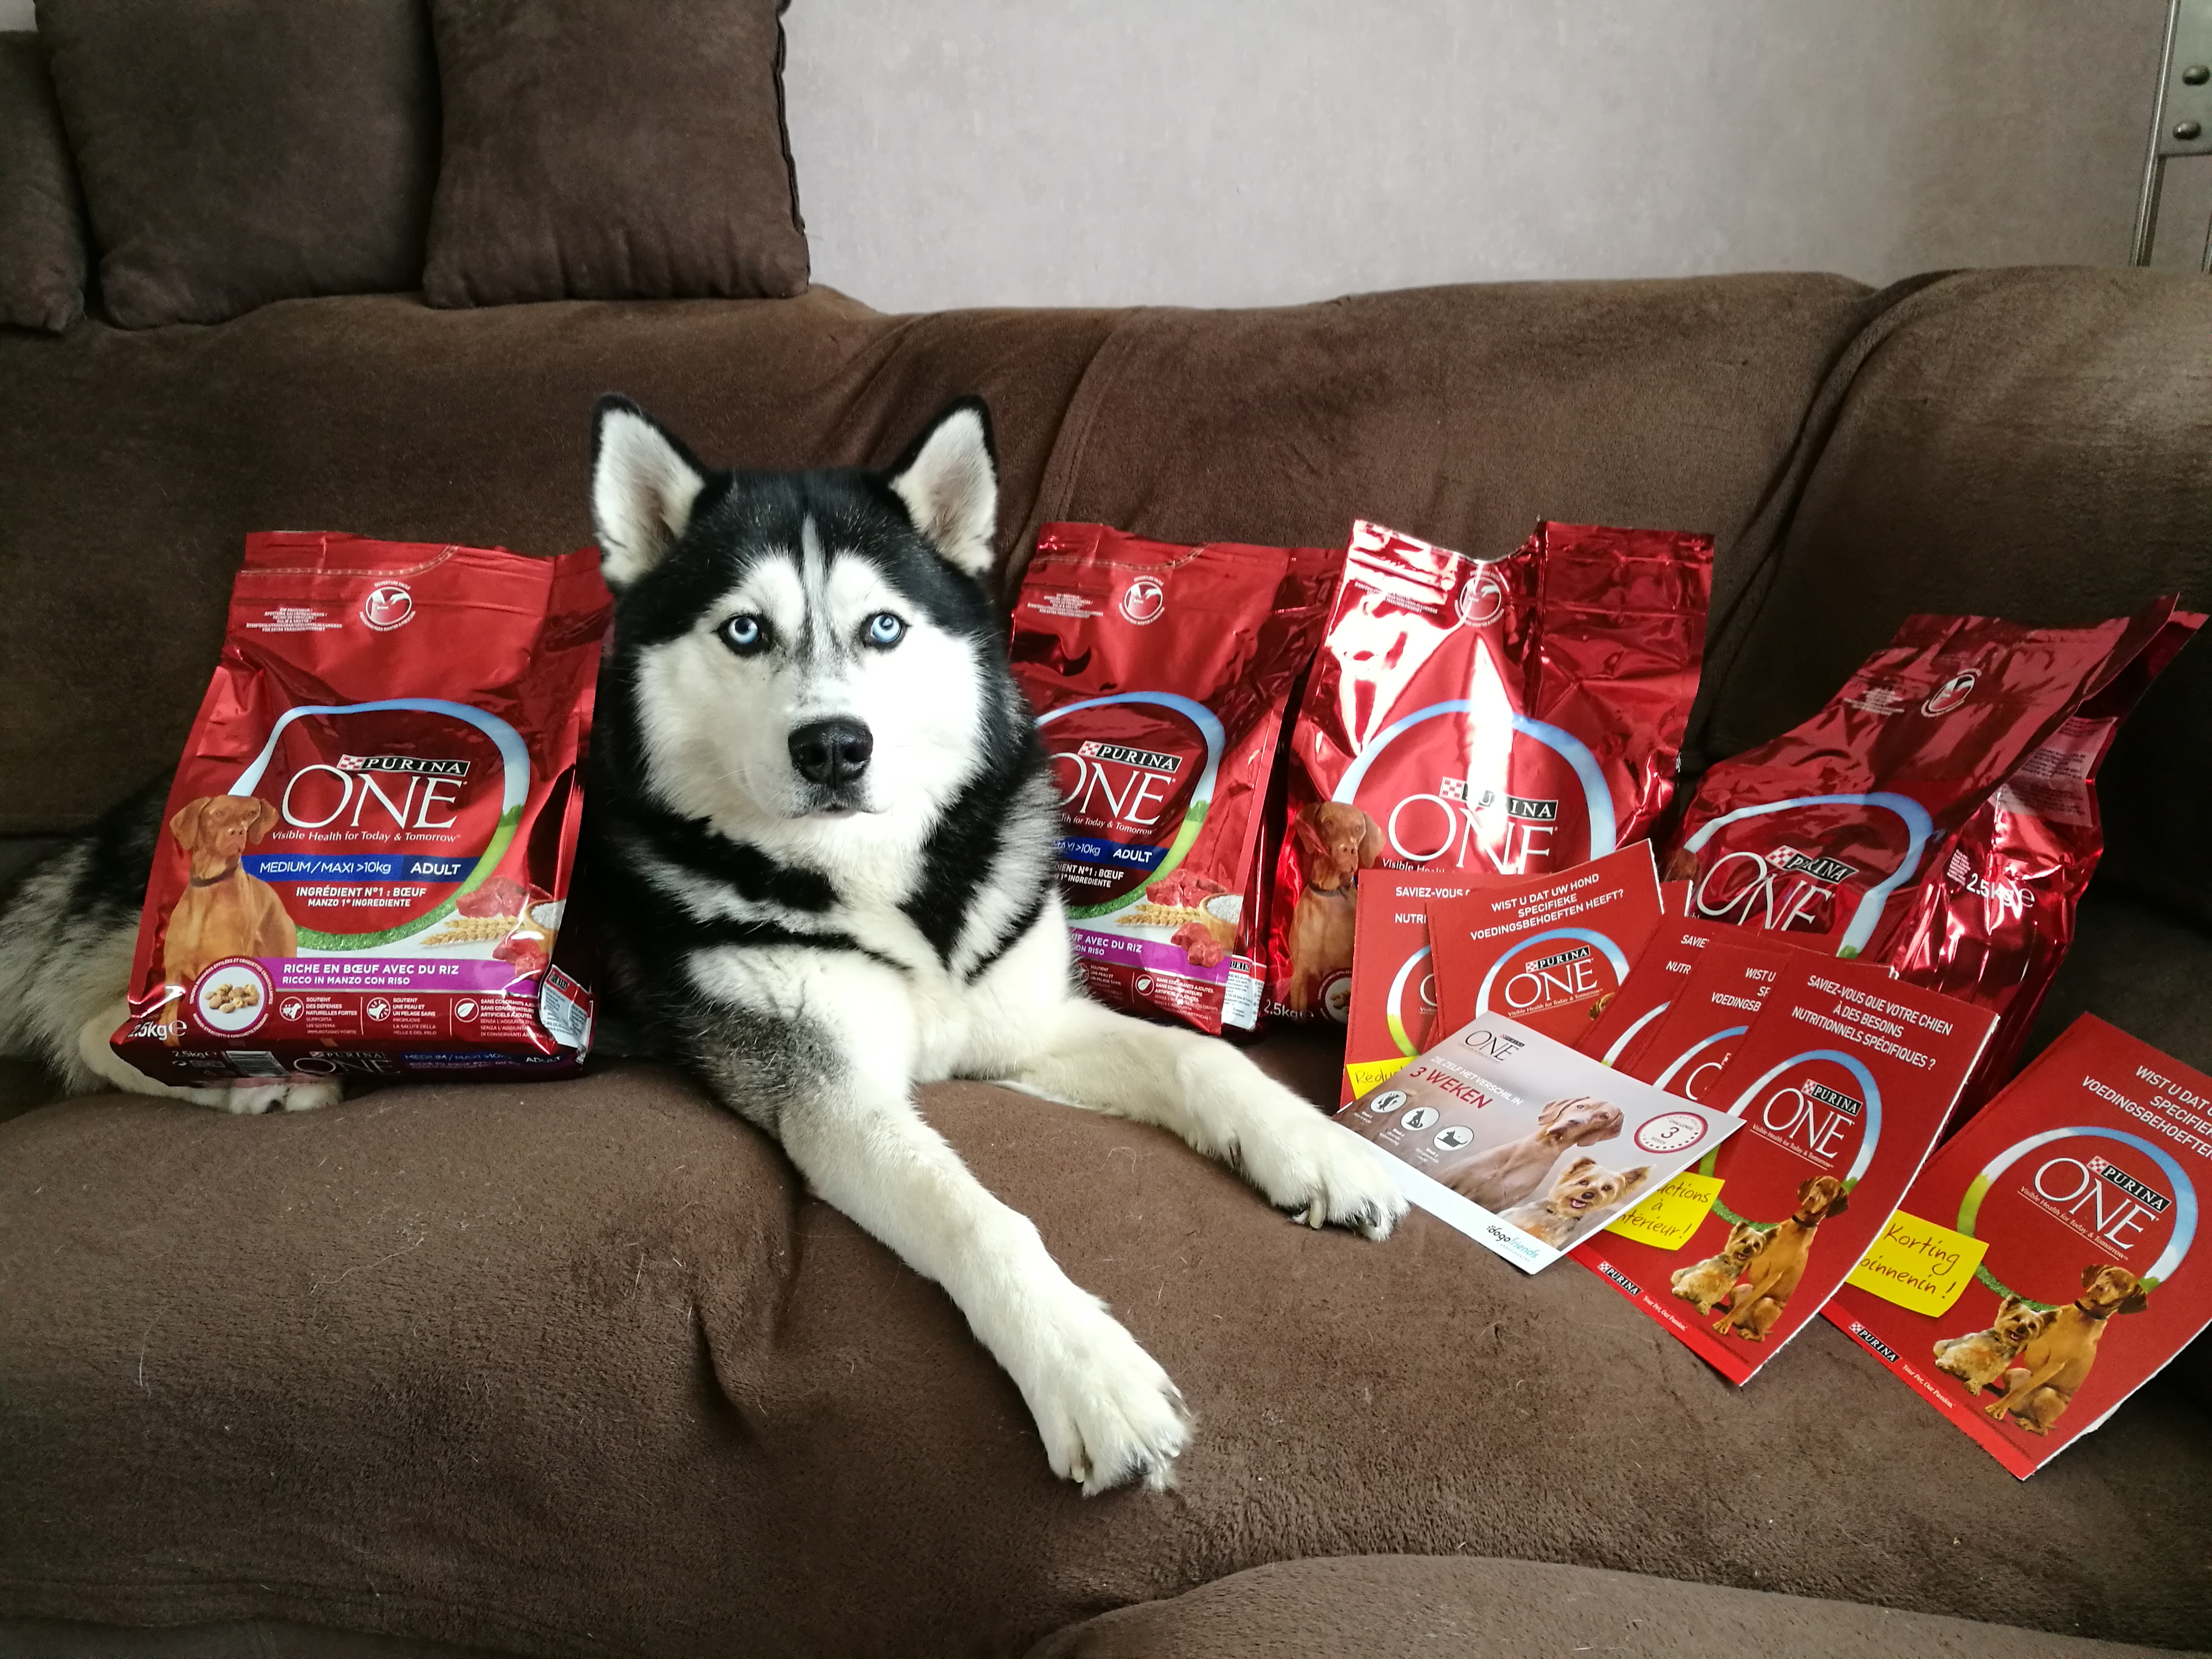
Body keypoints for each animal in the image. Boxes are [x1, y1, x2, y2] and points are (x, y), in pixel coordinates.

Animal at [1670, 1220, 1770, 1316]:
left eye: (1756, 1245)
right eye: (1743, 1241)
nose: (1747, 1249)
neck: (1730, 1264)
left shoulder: (1721, 1289)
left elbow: (1710, 1298)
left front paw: (1704, 1307)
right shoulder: (1699, 1275)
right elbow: (1689, 1282)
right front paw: (1680, 1292)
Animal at [1713, 1173, 1848, 1341]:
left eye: (1831, 1193)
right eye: (1818, 1184)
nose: (1812, 1198)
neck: (1796, 1229)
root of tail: (1744, 1322)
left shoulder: (1773, 1275)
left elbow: (1743, 1305)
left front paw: (1724, 1324)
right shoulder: (1750, 1260)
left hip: (1766, 1303)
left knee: (1760, 1335)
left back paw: (1746, 1332)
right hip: (1740, 1289)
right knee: (1734, 1305)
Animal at [1933, 1295, 2051, 1397]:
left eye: (2032, 1326)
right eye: (2016, 1319)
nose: (2021, 1329)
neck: (2002, 1343)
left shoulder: (1995, 1368)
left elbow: (1982, 1377)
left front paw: (1973, 1386)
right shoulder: (1966, 1349)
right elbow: (1955, 1356)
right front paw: (1945, 1365)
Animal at [1985, 1264, 2150, 1435]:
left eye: (2123, 1286)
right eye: (2107, 1274)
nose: (2100, 1287)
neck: (2079, 1317)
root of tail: (2019, 1410)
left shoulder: (2054, 1365)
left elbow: (2019, 1390)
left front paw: (1998, 1409)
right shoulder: (2026, 1343)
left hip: (2047, 1394)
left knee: (2043, 1429)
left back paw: (2027, 1423)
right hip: (2015, 1372)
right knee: (2008, 1390)